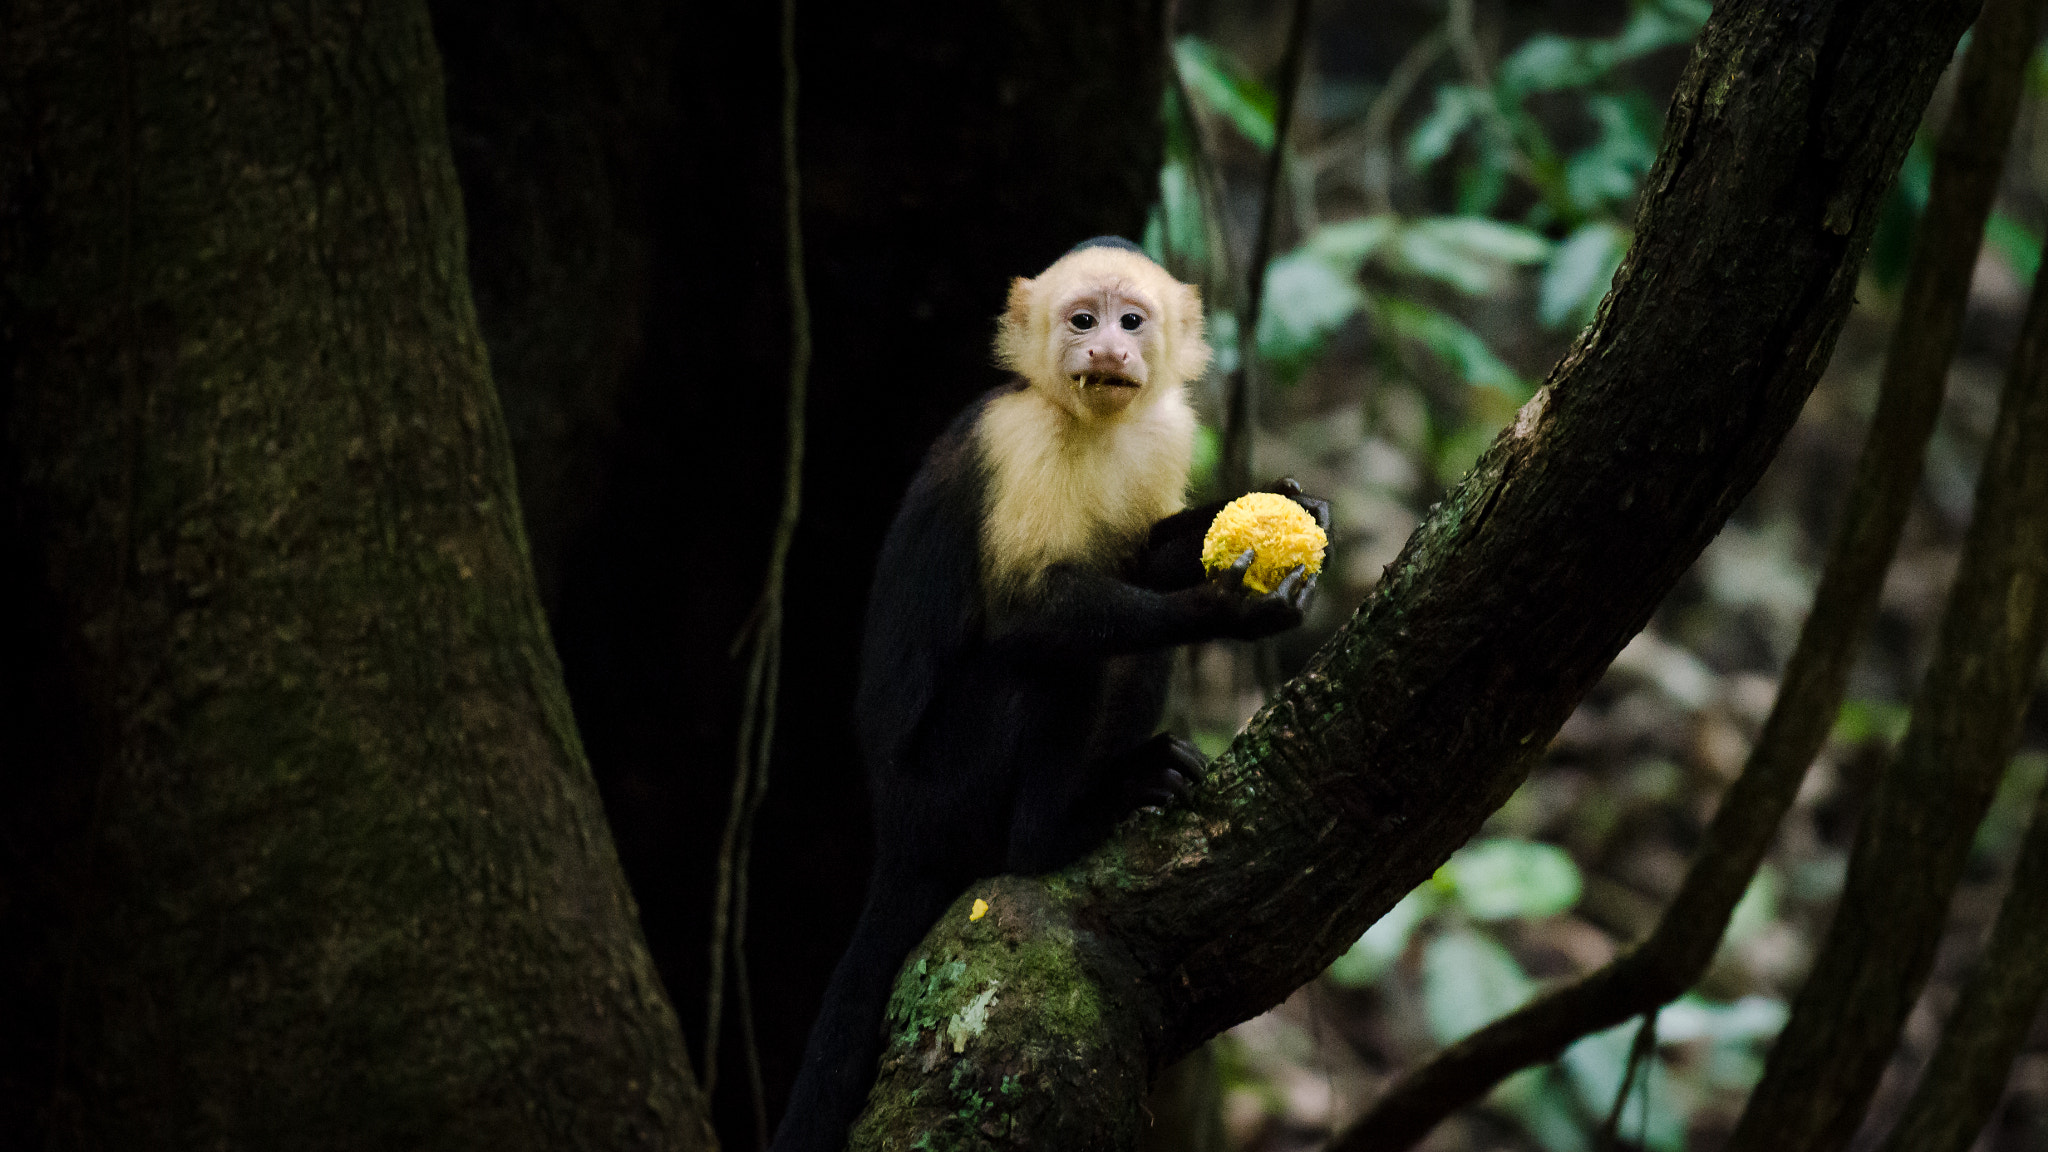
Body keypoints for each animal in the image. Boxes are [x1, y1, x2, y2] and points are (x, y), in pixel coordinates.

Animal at [770, 238, 1327, 1152]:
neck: (1091, 424)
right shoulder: (1017, 439)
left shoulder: (1166, 430)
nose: (1105, 351)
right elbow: (1027, 617)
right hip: (943, 785)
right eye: (1081, 319)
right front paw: (1224, 609)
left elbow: (1144, 554)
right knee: (1049, 668)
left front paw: (1289, 499)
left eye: (1130, 321)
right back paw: (1060, 828)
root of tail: (897, 828)